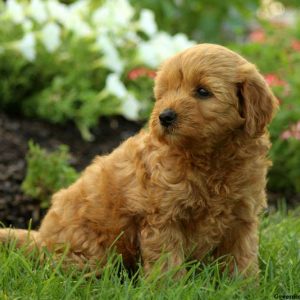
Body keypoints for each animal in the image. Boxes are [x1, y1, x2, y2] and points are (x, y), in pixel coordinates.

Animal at [0, 44, 278, 276]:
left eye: (202, 91)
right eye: (164, 93)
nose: (164, 116)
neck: (210, 158)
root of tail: (40, 237)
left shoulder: (242, 217)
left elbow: (242, 258)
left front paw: (243, 287)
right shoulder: (163, 217)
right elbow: (167, 263)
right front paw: (169, 289)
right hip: (90, 247)